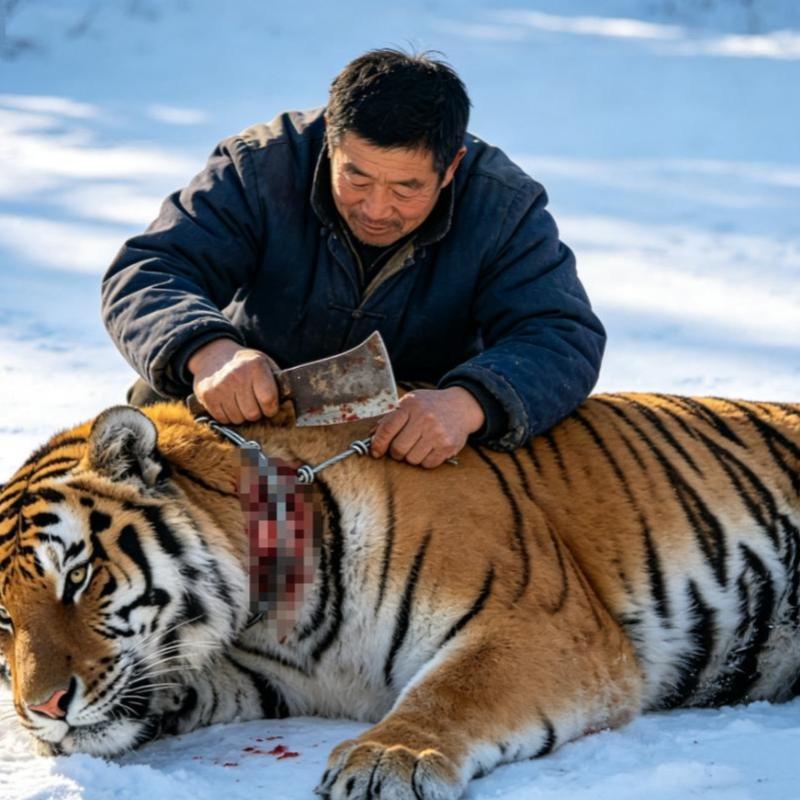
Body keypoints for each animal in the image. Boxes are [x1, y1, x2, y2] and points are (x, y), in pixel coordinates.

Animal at [1, 393, 799, 799]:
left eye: (78, 577)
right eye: (4, 619)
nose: (42, 708)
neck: (270, 614)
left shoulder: (539, 622)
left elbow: (457, 689)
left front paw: (387, 761)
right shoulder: (275, 678)